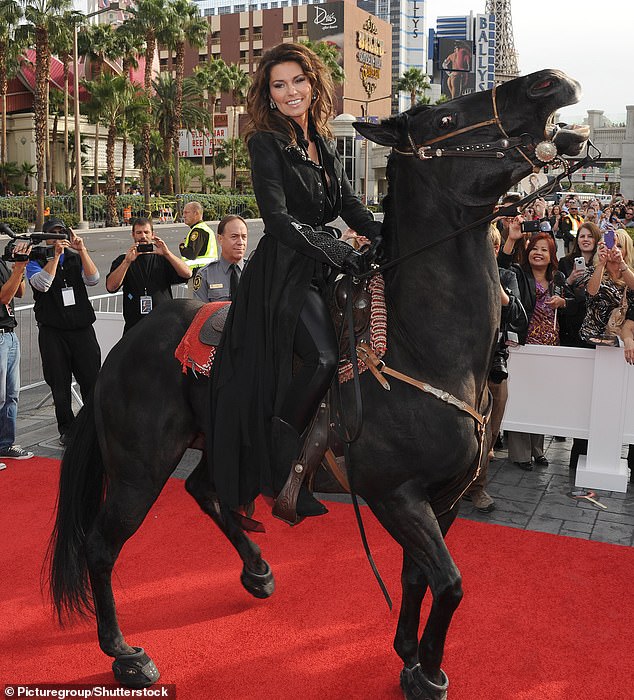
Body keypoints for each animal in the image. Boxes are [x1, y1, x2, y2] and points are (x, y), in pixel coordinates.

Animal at [47, 72, 584, 700]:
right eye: (447, 118)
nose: (550, 83)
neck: (422, 344)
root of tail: (124, 347)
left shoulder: (443, 497)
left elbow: (420, 577)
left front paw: (410, 657)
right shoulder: (395, 494)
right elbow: (449, 583)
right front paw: (429, 671)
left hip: (220, 442)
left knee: (206, 491)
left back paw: (256, 569)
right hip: (140, 468)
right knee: (102, 546)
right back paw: (124, 653)